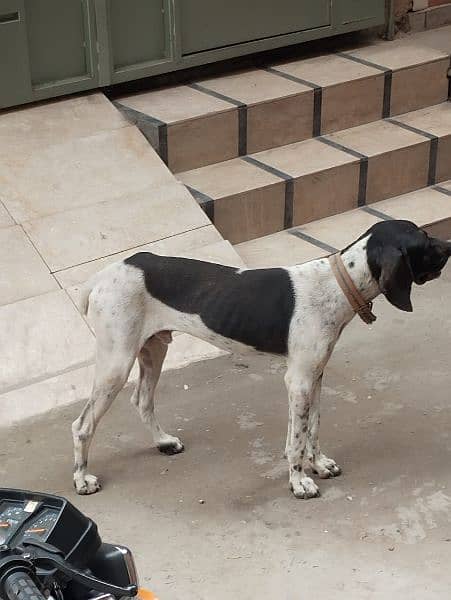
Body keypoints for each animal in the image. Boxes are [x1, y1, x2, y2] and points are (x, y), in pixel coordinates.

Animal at [73, 220, 451, 496]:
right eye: (424, 238)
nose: (450, 245)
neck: (337, 284)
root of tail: (102, 275)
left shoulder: (315, 375)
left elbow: (313, 428)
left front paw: (319, 464)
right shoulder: (298, 381)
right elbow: (295, 439)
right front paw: (299, 482)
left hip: (153, 349)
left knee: (142, 400)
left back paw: (163, 442)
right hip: (116, 363)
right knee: (82, 426)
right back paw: (82, 479)